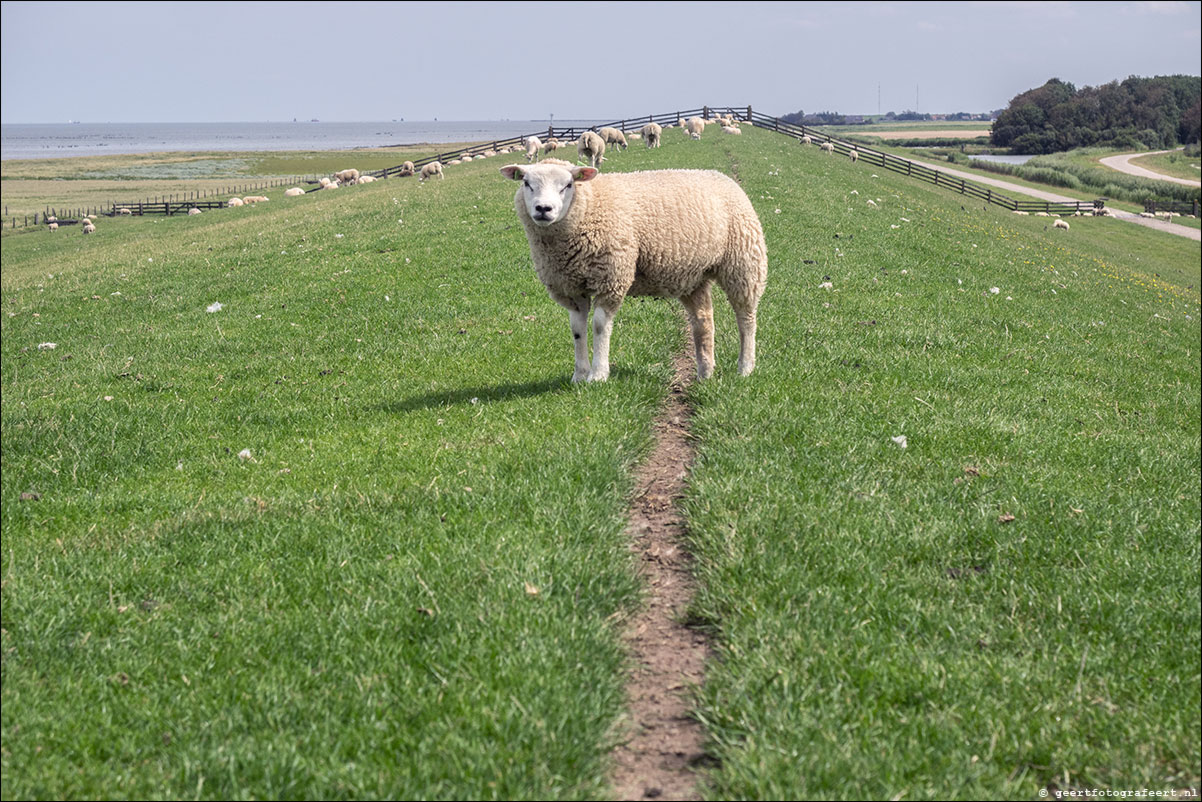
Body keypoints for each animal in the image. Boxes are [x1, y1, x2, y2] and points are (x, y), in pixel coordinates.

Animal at [500, 162, 764, 382]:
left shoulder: (612, 277)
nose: (543, 209)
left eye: (568, 185)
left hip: (744, 263)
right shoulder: (571, 288)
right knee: (704, 320)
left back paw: (745, 367)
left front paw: (598, 375)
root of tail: (722, 176)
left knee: (746, 318)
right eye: (526, 183)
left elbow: (599, 326)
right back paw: (705, 371)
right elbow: (577, 330)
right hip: (693, 277)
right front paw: (579, 375)